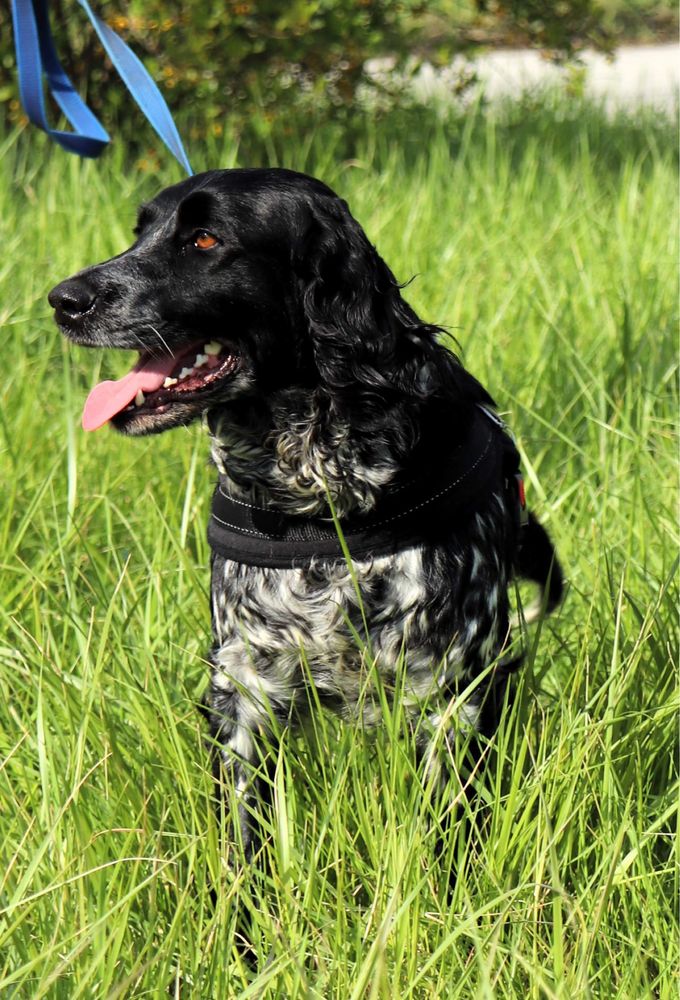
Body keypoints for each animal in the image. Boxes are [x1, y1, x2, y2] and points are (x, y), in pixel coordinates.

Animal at [47, 170, 564, 860]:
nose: (63, 300)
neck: (319, 500)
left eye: (204, 239)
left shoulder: (449, 688)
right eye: (141, 232)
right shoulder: (244, 684)